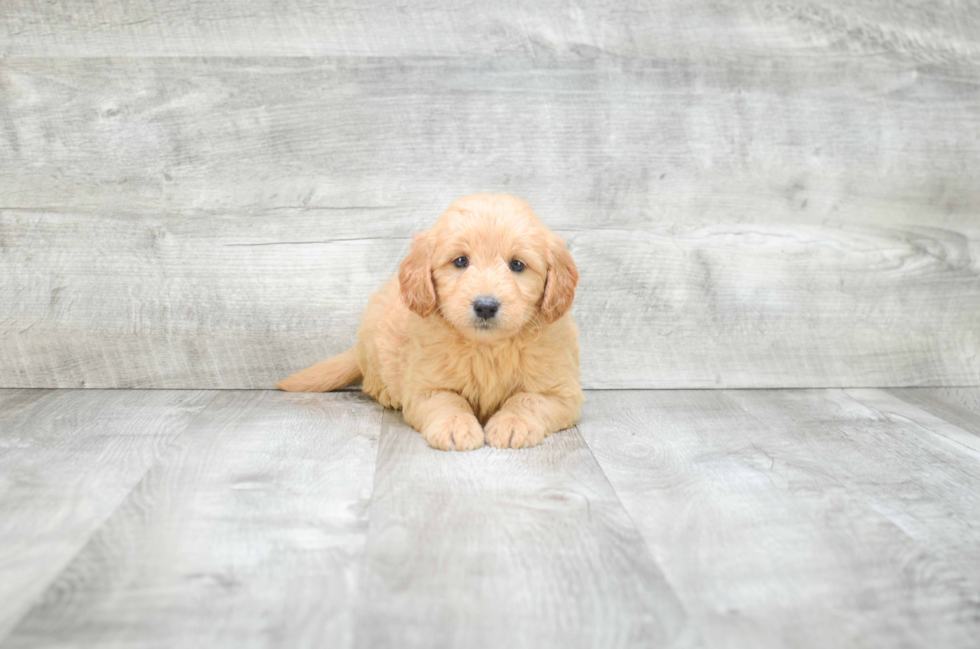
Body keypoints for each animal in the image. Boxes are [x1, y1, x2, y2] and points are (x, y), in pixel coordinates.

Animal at [276, 191, 580, 450]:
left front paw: (512, 423)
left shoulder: (561, 390)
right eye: (460, 261)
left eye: (517, 265)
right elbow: (449, 400)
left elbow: (528, 399)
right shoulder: (425, 386)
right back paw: (387, 393)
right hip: (373, 341)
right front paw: (456, 426)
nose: (485, 306)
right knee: (371, 381)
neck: (486, 347)